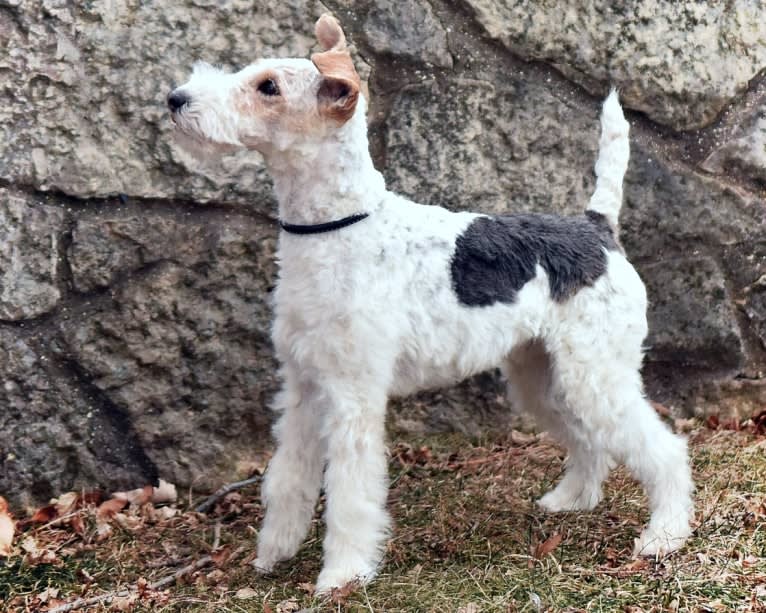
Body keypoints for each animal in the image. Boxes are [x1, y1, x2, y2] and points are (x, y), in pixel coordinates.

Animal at [168, 13, 696, 588]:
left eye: (269, 87)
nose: (175, 98)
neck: (339, 224)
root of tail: (597, 229)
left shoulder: (353, 396)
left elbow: (350, 493)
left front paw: (342, 575)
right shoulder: (303, 388)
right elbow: (287, 478)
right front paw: (273, 553)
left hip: (594, 373)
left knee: (664, 450)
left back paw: (664, 536)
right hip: (543, 376)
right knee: (591, 441)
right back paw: (571, 500)